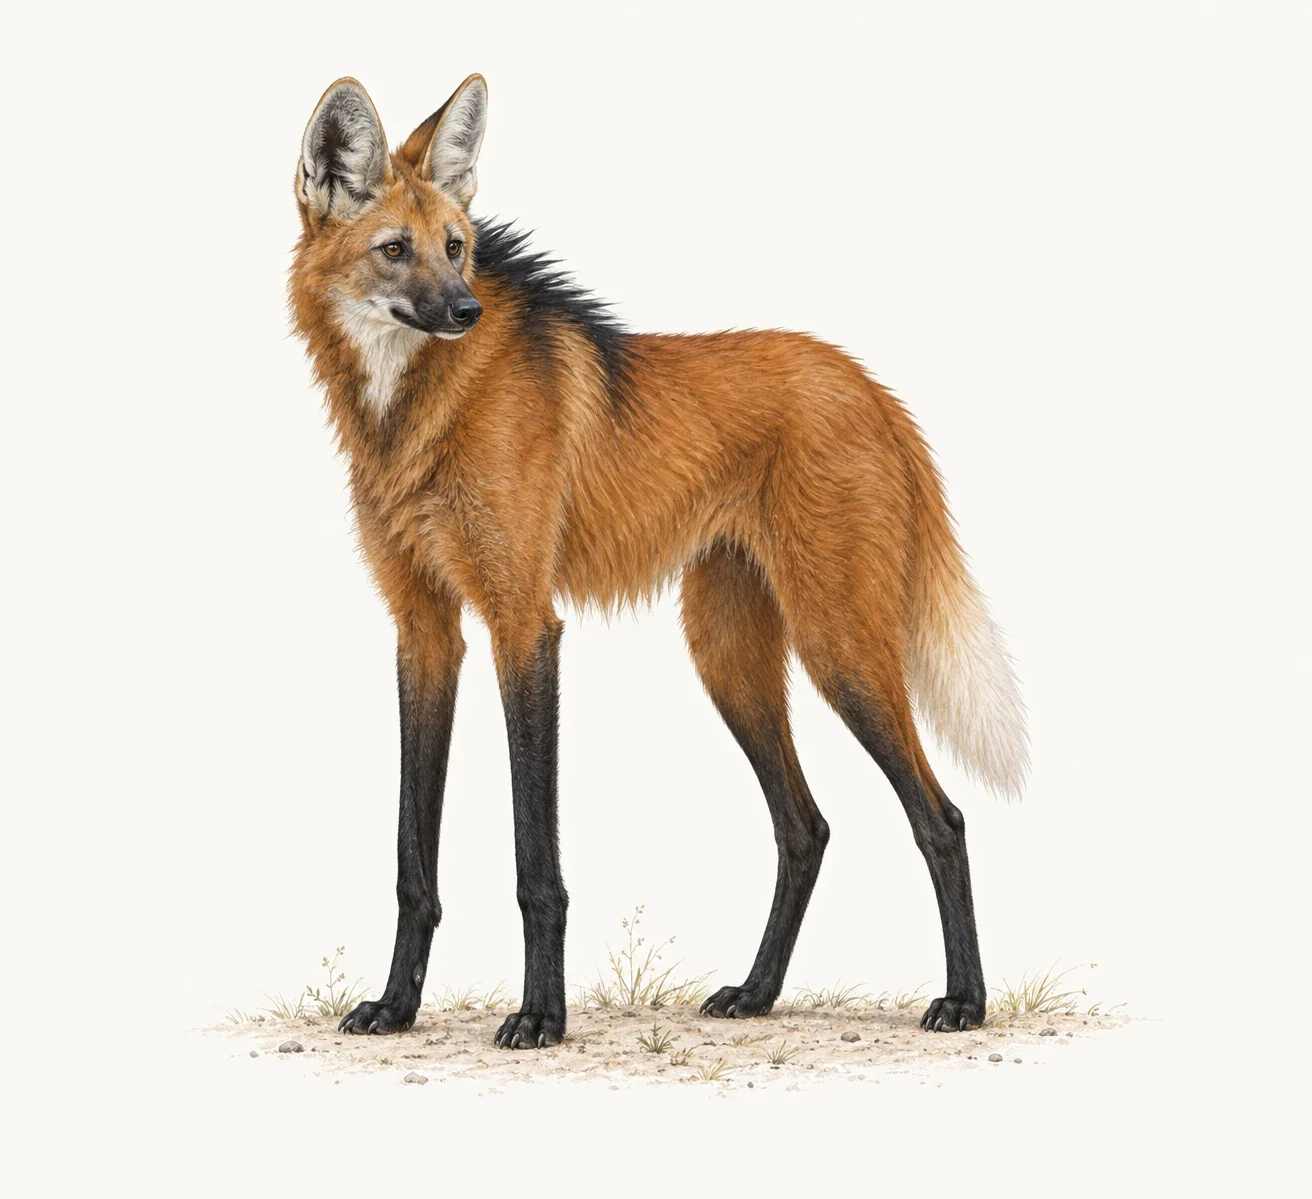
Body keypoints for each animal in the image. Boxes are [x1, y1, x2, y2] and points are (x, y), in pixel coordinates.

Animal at [289, 74, 1027, 1048]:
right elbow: (415, 858)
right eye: (393, 250)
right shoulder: (426, 631)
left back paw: (965, 1000)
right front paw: (397, 1006)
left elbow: (536, 861)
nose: (465, 310)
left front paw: (542, 1014)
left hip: (839, 651)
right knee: (805, 828)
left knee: (941, 818)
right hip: (728, 658)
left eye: (457, 248)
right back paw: (756, 992)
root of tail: (869, 384)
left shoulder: (524, 623)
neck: (410, 418)